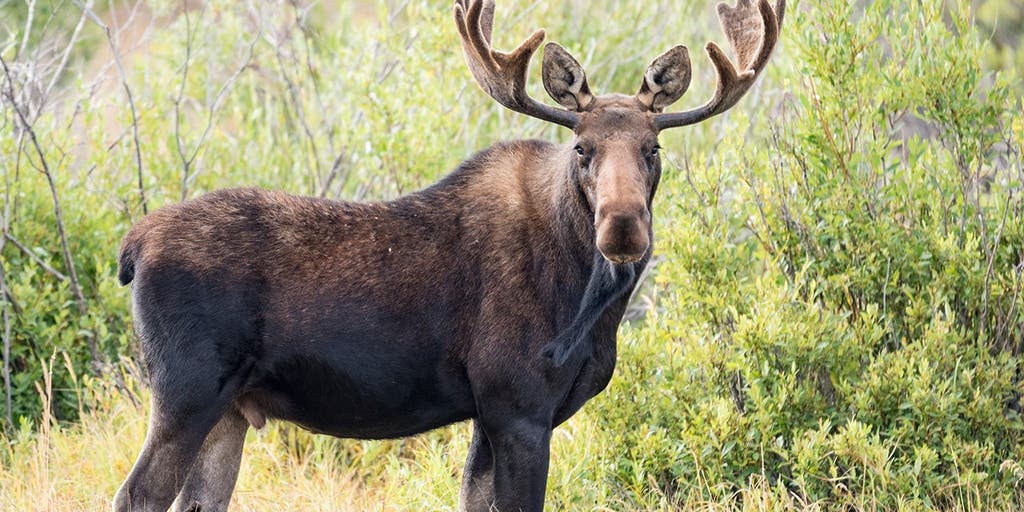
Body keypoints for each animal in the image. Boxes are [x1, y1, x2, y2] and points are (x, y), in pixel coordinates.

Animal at [112, 1, 785, 510]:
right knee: (136, 495)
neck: (591, 307)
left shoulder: (491, 417)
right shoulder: (517, 406)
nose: (622, 228)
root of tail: (132, 247)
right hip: (186, 390)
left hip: (228, 409)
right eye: (582, 148)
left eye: (653, 148)